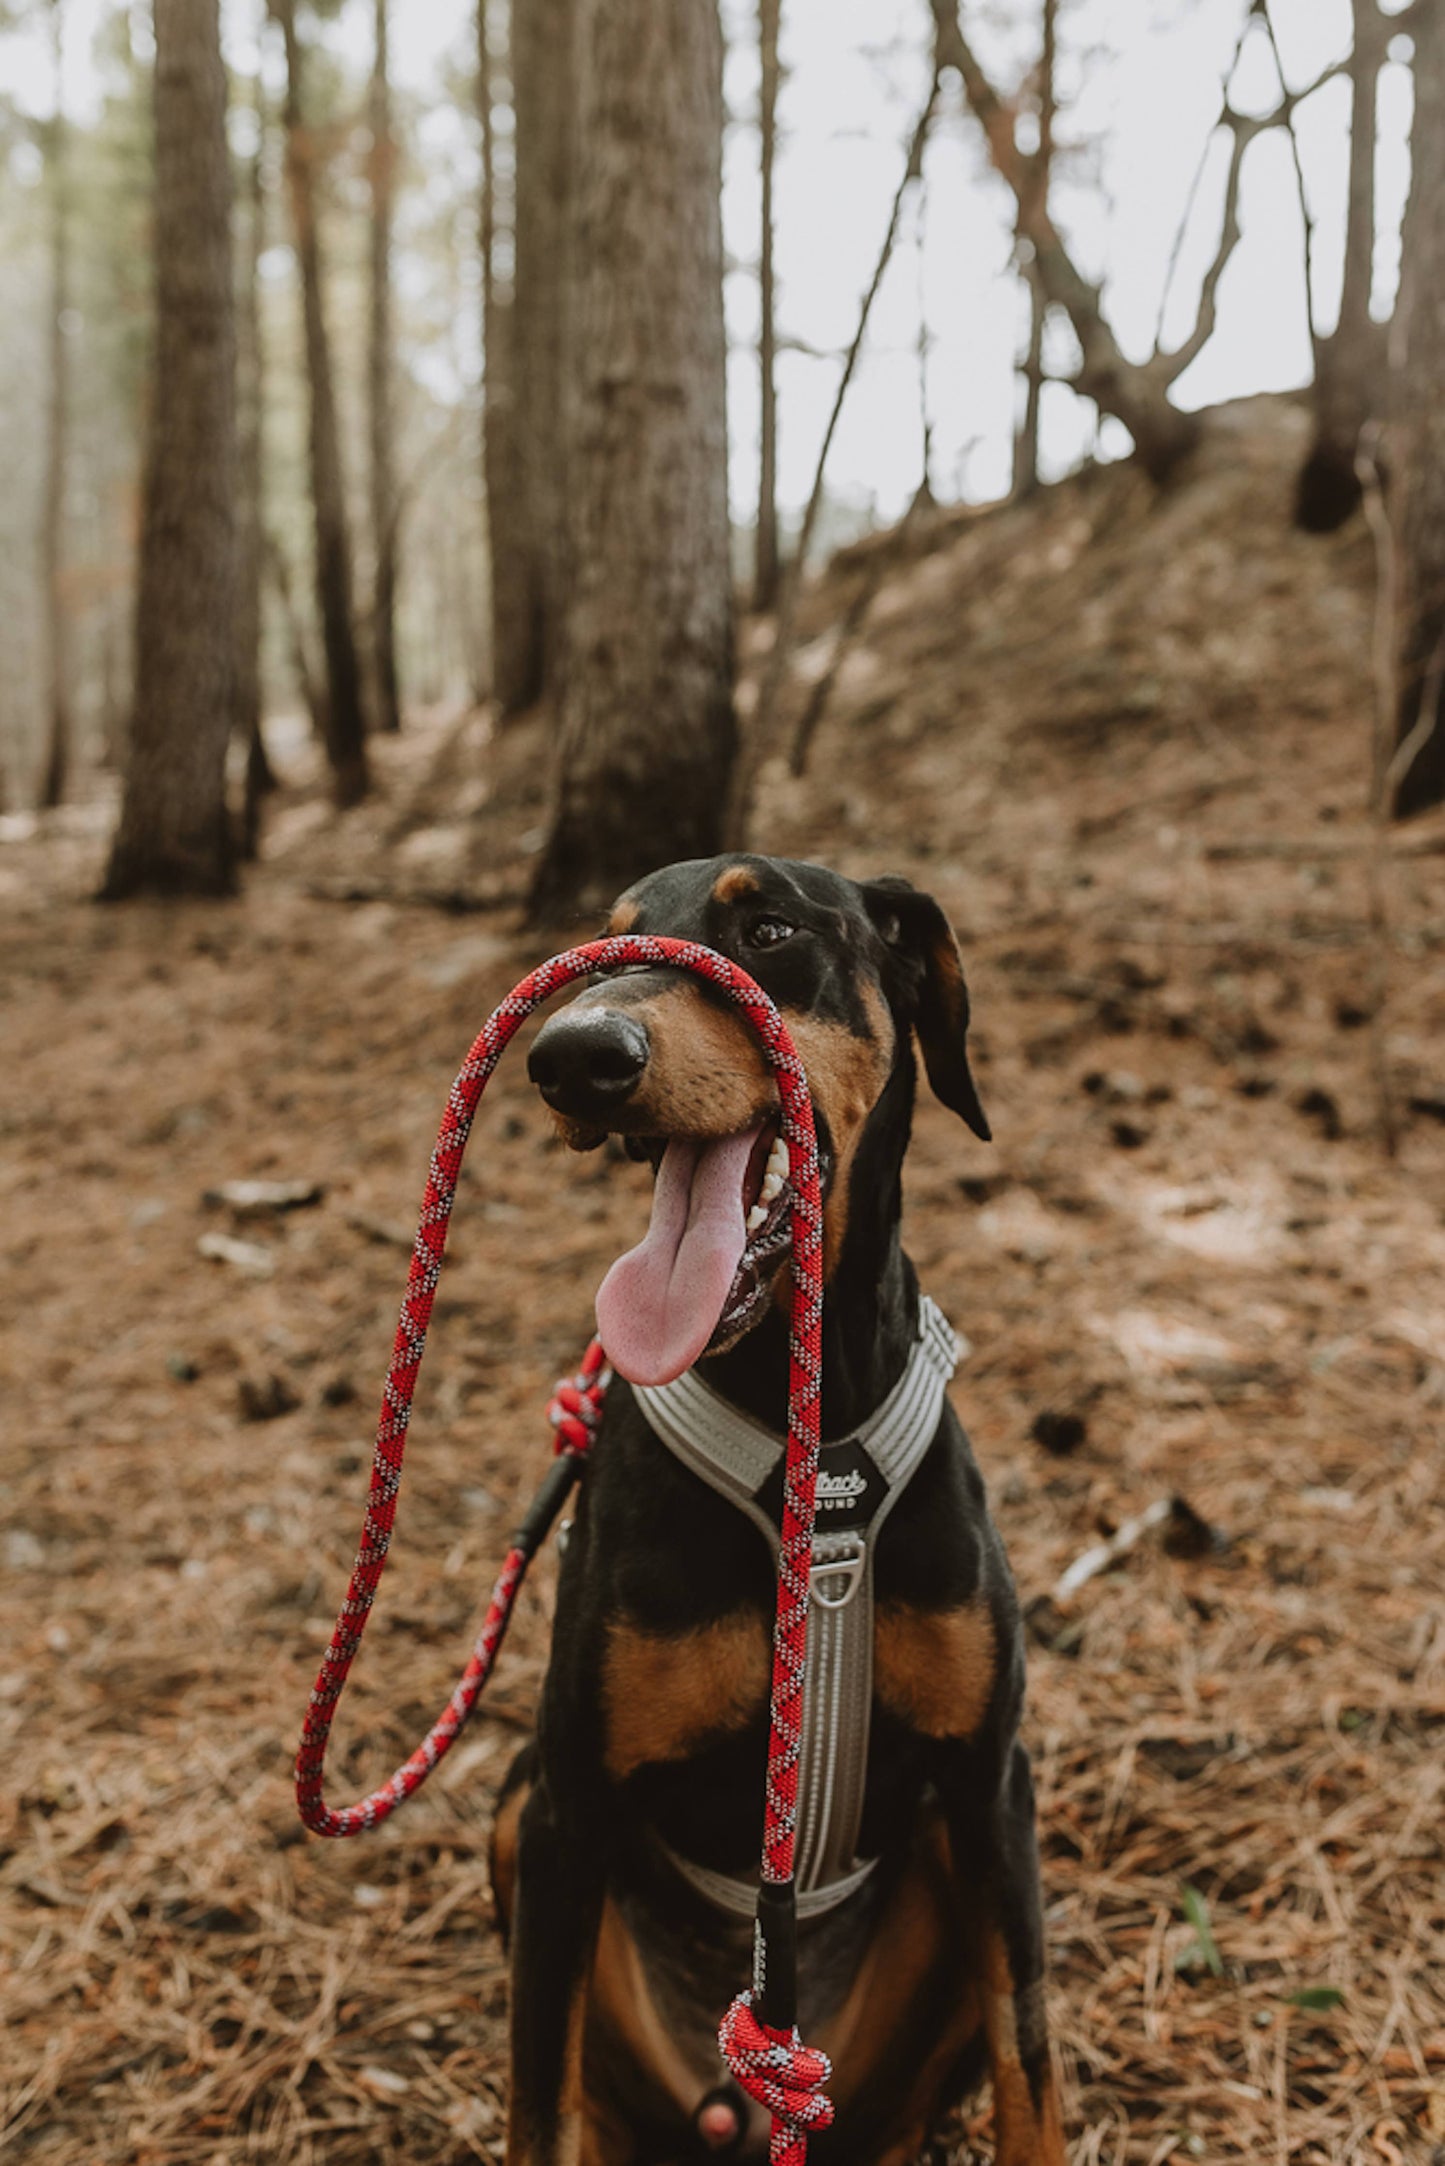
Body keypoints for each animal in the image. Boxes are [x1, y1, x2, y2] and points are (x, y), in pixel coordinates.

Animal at [491, 853, 1070, 2157]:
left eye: (766, 930)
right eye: (601, 951)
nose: (571, 1055)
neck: (806, 1443)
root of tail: (735, 2115)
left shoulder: (989, 1786)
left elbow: (1031, 2070)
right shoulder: (566, 1810)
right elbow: (538, 2103)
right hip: (515, 1816)